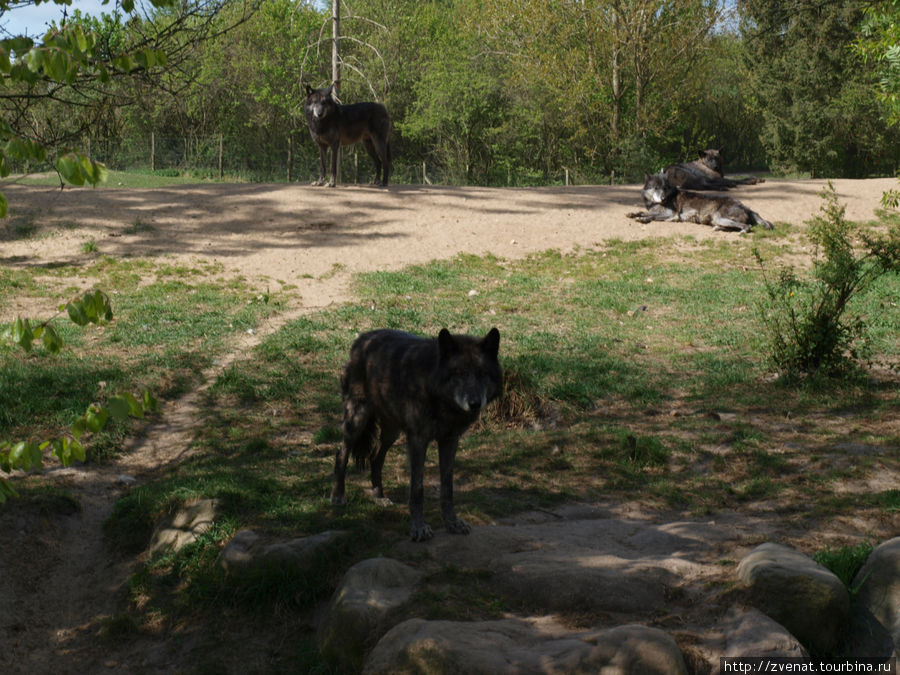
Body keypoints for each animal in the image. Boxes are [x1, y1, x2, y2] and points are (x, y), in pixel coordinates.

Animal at [330, 328, 502, 544]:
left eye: (482, 373)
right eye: (460, 373)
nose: (475, 403)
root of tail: (362, 338)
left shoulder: (450, 441)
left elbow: (448, 487)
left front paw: (452, 523)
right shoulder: (418, 441)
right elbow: (417, 490)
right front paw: (418, 528)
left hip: (392, 432)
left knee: (375, 458)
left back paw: (379, 497)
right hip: (357, 419)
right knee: (341, 454)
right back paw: (338, 496)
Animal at [624, 173, 772, 234]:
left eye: (664, 188)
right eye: (655, 188)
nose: (663, 198)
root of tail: (745, 206)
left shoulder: (672, 215)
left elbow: (651, 216)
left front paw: (642, 219)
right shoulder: (655, 210)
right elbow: (644, 212)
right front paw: (633, 213)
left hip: (720, 218)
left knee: (746, 226)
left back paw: (741, 231)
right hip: (718, 220)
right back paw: (719, 229)